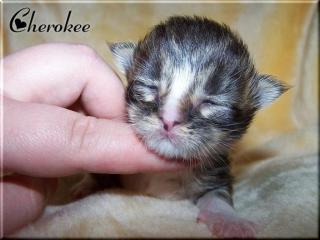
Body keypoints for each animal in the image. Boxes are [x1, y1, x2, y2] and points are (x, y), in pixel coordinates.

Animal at [75, 16, 288, 238]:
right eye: (150, 87)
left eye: (210, 103)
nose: (169, 120)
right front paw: (88, 185)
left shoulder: (215, 170)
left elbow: (217, 195)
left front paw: (230, 221)